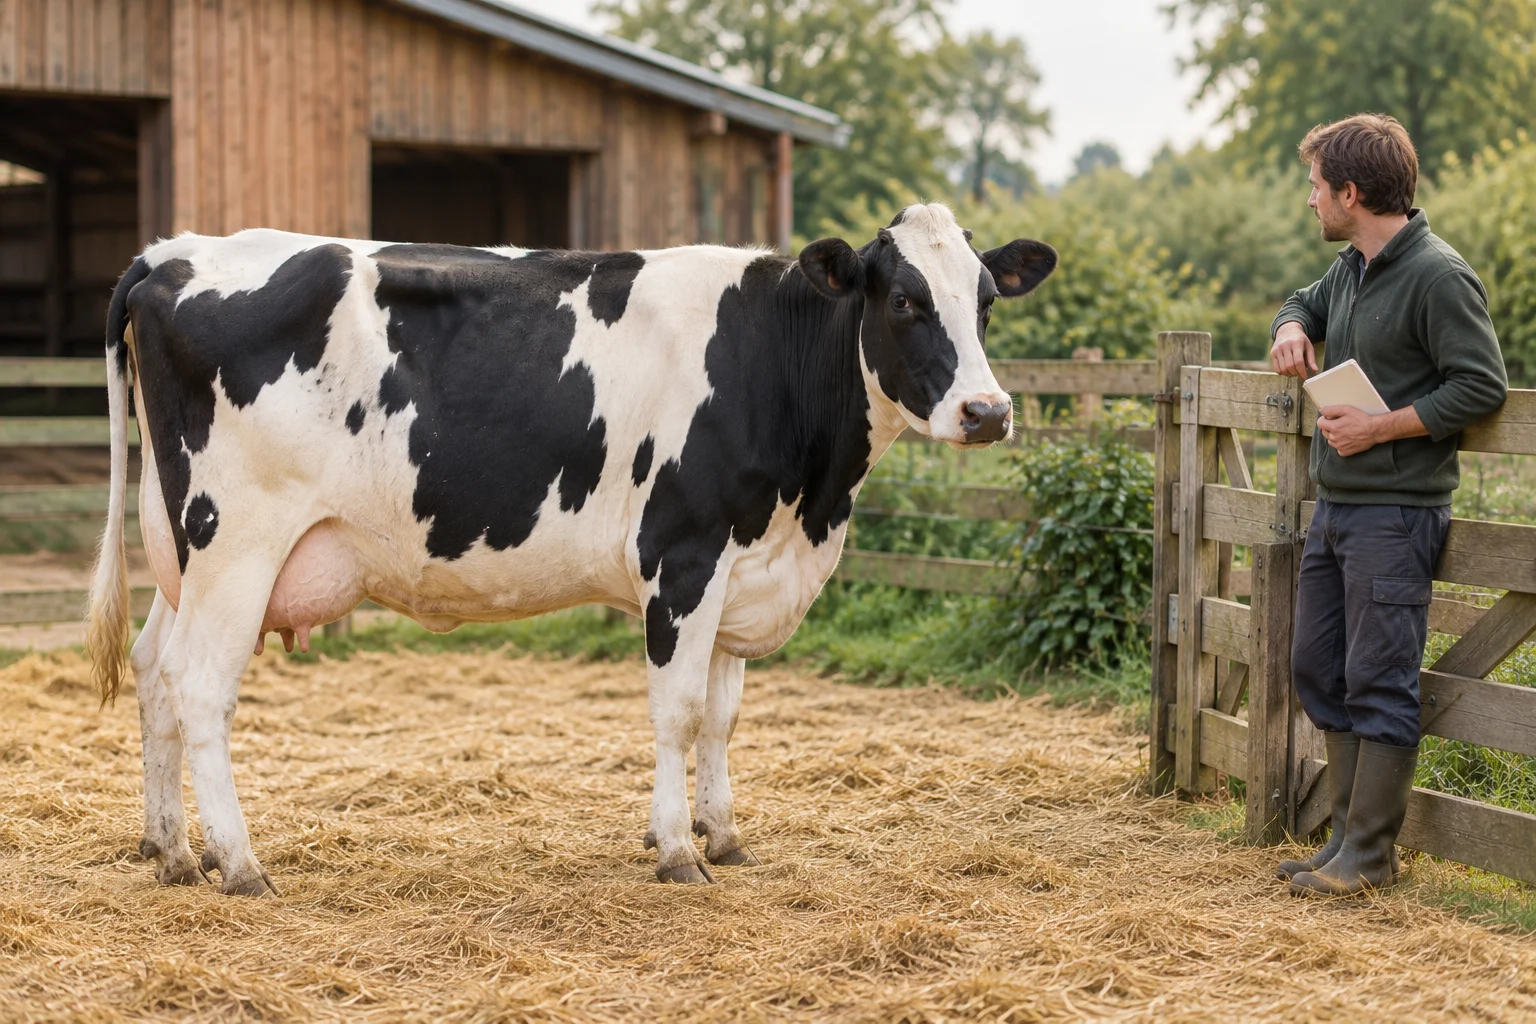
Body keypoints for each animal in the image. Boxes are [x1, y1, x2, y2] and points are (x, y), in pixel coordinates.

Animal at [86, 202, 1056, 895]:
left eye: (985, 302)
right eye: (903, 299)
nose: (989, 411)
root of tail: (172, 252)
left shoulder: (741, 563)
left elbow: (723, 715)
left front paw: (724, 836)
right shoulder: (683, 556)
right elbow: (678, 711)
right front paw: (676, 851)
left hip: (182, 552)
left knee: (154, 672)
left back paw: (173, 852)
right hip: (238, 542)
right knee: (199, 687)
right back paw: (241, 865)